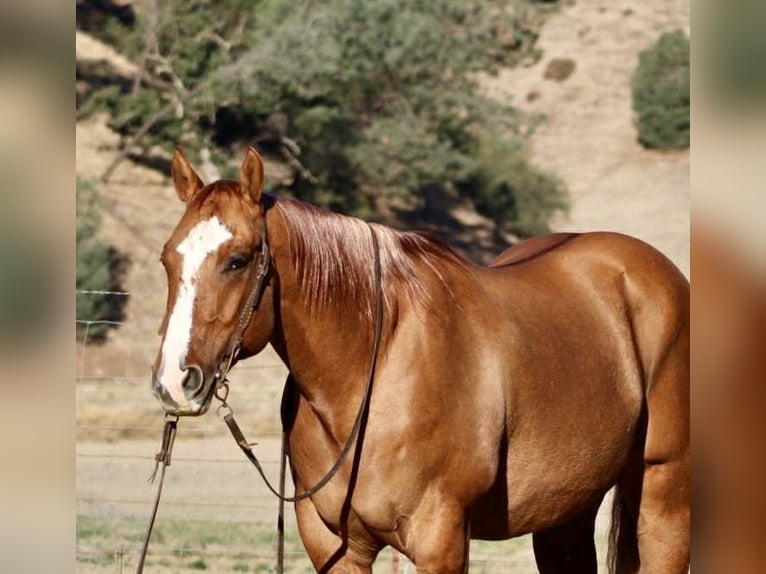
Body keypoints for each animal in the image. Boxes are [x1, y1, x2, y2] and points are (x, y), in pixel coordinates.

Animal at [151, 147, 690, 573]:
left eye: (237, 260)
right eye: (167, 260)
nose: (174, 382)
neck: (371, 376)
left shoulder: (440, 539)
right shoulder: (337, 548)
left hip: (662, 492)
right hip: (566, 511)